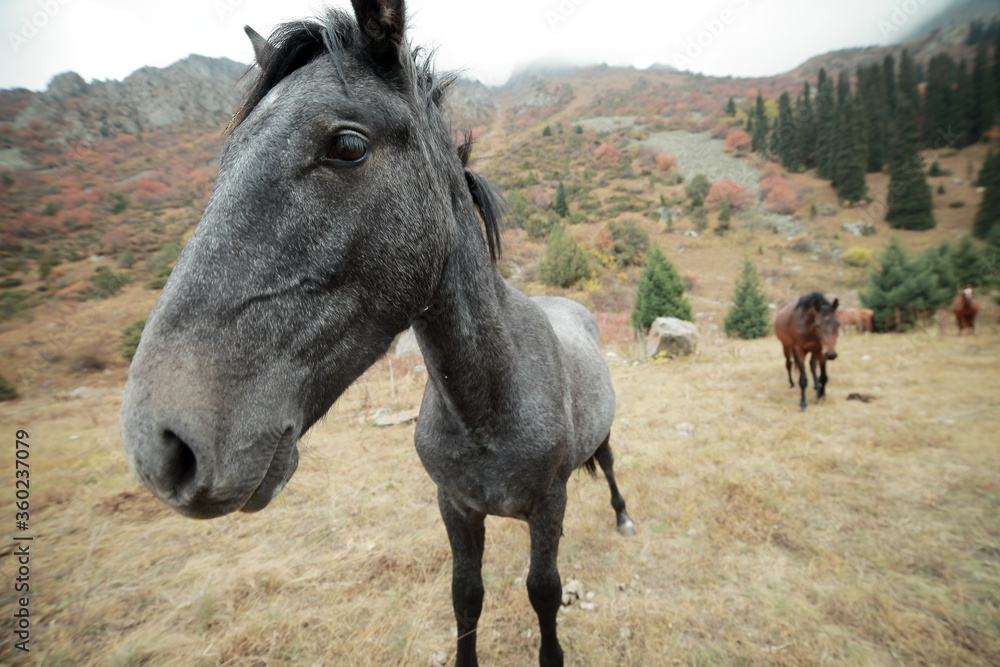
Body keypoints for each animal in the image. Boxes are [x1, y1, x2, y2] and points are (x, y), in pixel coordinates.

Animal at [117, 2, 632, 664]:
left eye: (347, 145)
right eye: (225, 157)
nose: (160, 446)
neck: (490, 403)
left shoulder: (548, 504)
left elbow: (544, 592)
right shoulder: (456, 507)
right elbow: (467, 595)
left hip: (601, 441)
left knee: (611, 466)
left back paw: (623, 516)